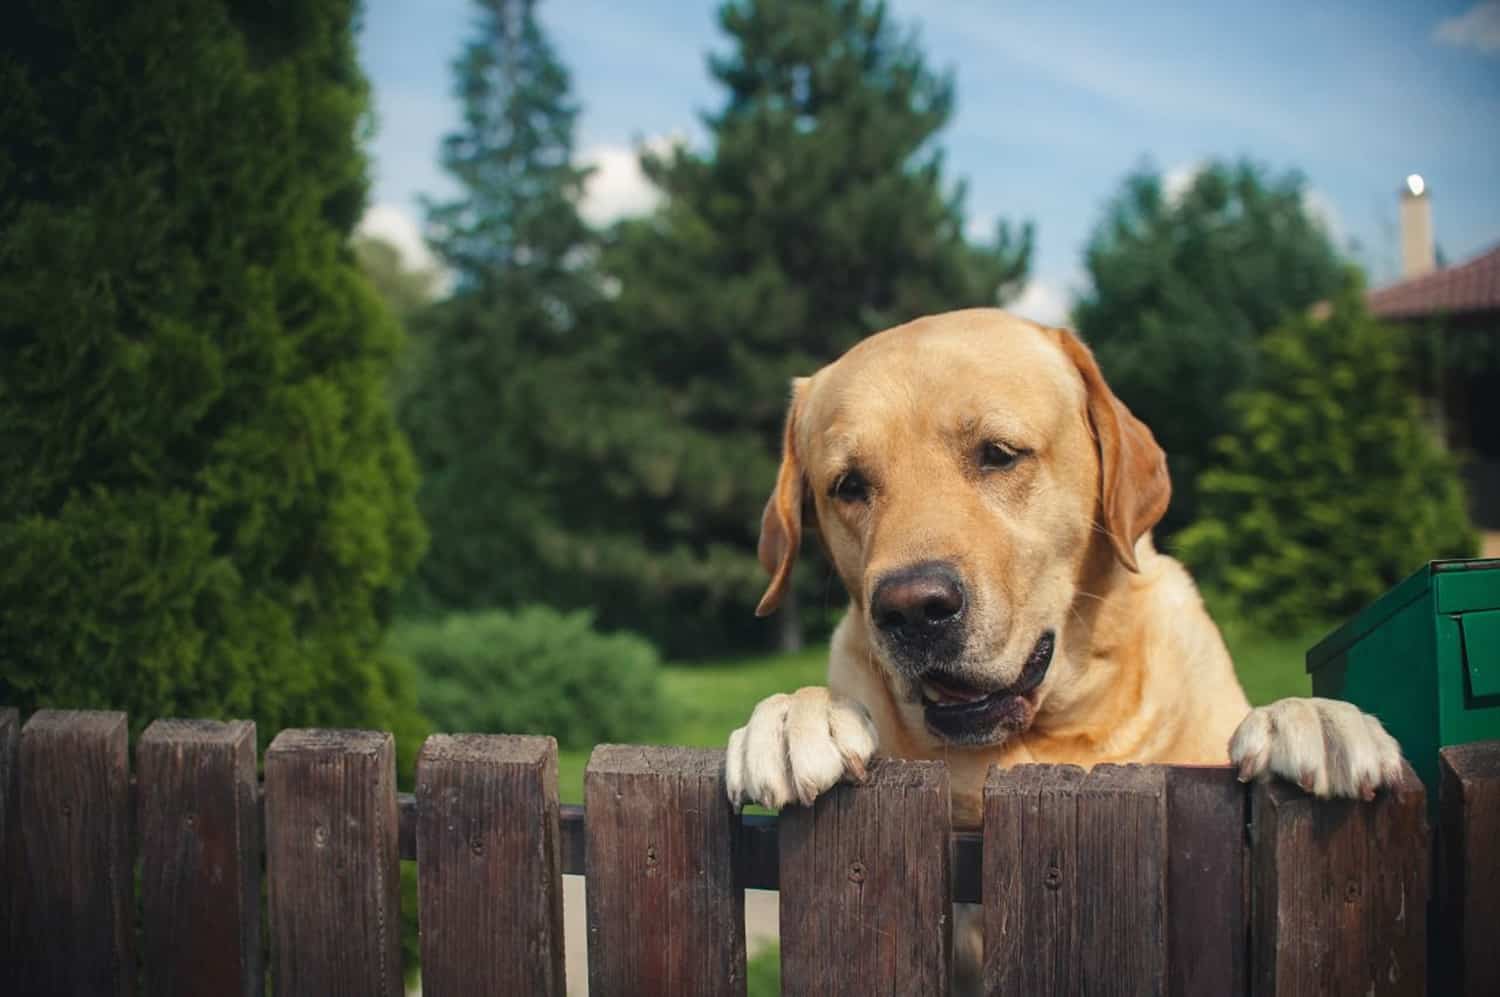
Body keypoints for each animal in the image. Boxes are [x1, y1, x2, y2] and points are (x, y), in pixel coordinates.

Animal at [726, 311, 1404, 821]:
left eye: (999, 454)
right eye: (848, 486)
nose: (912, 609)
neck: (1055, 733)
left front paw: (1315, 718)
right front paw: (797, 715)